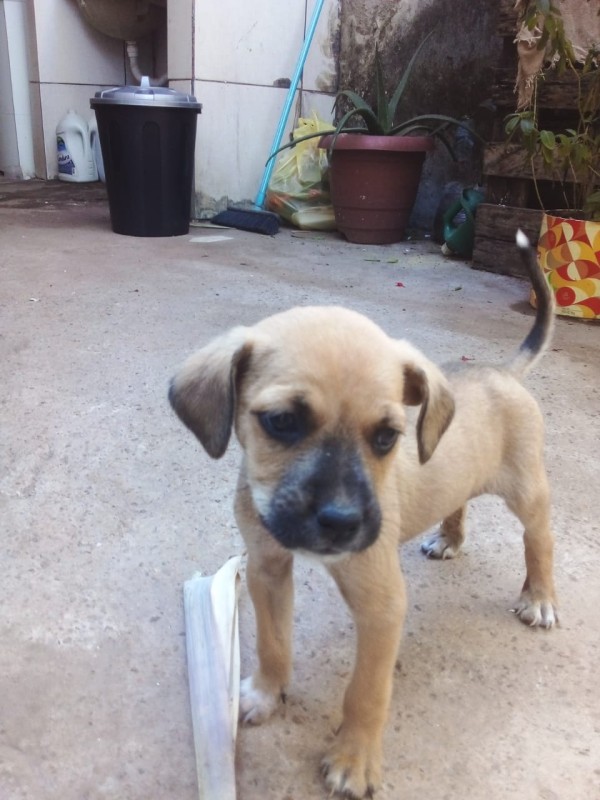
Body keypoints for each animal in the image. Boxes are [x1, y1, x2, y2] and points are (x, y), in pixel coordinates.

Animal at [169, 231, 556, 800]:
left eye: (387, 437)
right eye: (281, 422)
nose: (341, 522)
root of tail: (502, 372)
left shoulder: (382, 605)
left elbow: (366, 692)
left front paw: (354, 760)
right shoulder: (267, 569)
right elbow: (272, 642)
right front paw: (266, 693)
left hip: (528, 491)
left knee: (540, 540)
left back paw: (541, 597)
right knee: (460, 500)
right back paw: (450, 537)